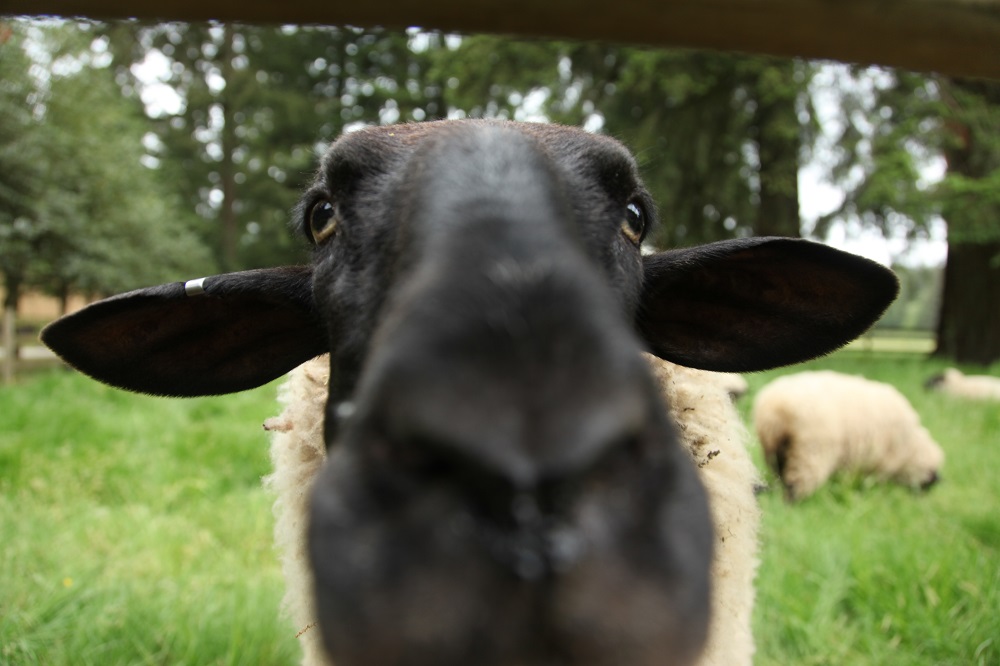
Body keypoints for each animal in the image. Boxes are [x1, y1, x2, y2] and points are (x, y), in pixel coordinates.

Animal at [753, 370, 944, 501]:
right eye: (929, 481)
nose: (920, 498)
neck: (911, 448)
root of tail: (776, 408)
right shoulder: (880, 461)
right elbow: (871, 480)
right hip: (810, 450)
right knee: (799, 481)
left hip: (775, 450)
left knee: (780, 474)